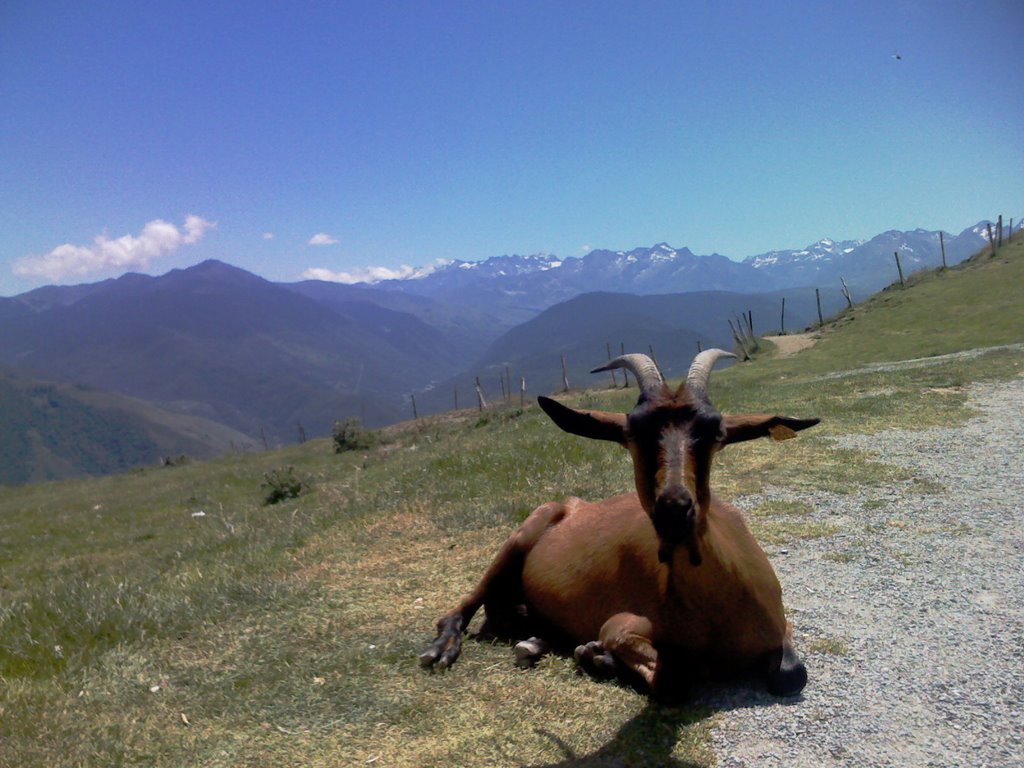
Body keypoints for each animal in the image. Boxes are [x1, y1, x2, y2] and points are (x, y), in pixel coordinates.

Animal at [419, 352, 819, 700]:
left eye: (715, 431)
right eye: (632, 433)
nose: (674, 509)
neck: (716, 618)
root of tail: (573, 505)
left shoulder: (782, 625)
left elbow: (792, 674)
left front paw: (593, 654)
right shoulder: (622, 624)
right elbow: (672, 681)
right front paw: (598, 656)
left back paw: (535, 642)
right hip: (522, 535)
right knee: (463, 607)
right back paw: (442, 650)